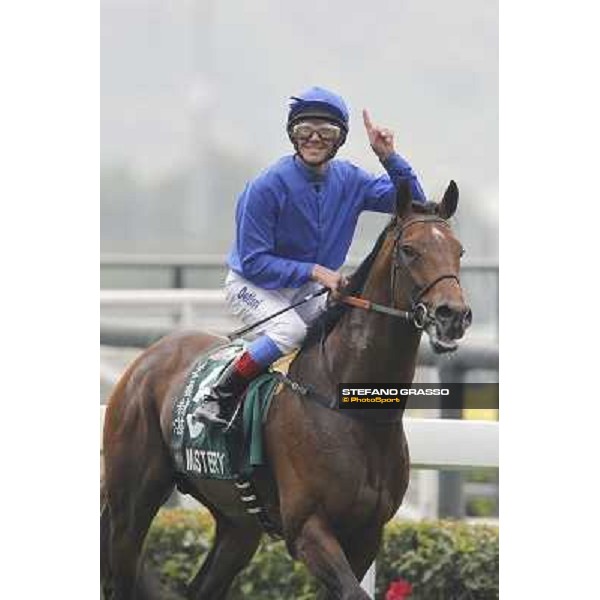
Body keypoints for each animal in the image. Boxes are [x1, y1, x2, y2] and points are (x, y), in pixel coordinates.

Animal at [99, 180, 474, 596]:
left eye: (459, 250)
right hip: (132, 504)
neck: (353, 411)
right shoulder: (308, 528)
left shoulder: (367, 533)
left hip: (238, 524)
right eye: (409, 250)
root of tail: (148, 357)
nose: (453, 315)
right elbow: (353, 590)